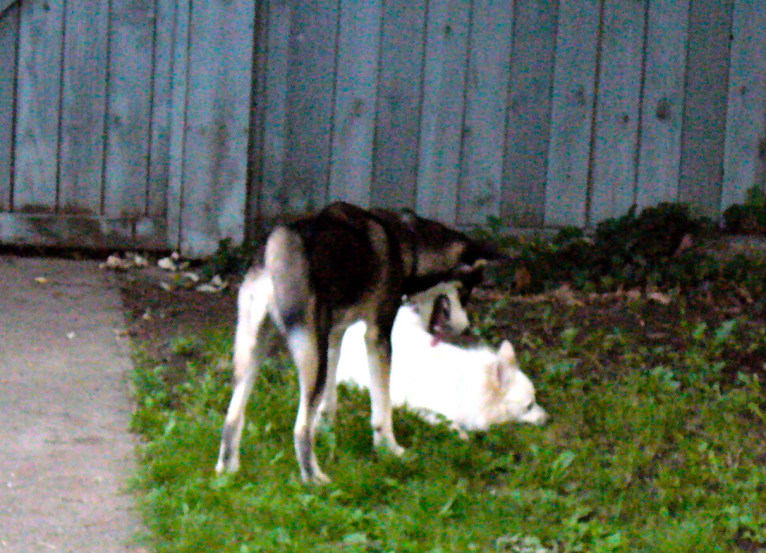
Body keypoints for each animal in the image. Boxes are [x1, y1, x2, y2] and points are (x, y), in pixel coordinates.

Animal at [216, 201, 504, 480]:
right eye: (467, 291)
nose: (466, 328)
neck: (407, 242)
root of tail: (279, 242)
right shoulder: (378, 336)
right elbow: (382, 407)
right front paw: (390, 449)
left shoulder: (334, 336)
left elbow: (329, 402)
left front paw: (327, 429)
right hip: (310, 359)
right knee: (300, 429)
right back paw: (314, 478)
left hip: (255, 351)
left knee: (233, 417)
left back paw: (227, 471)